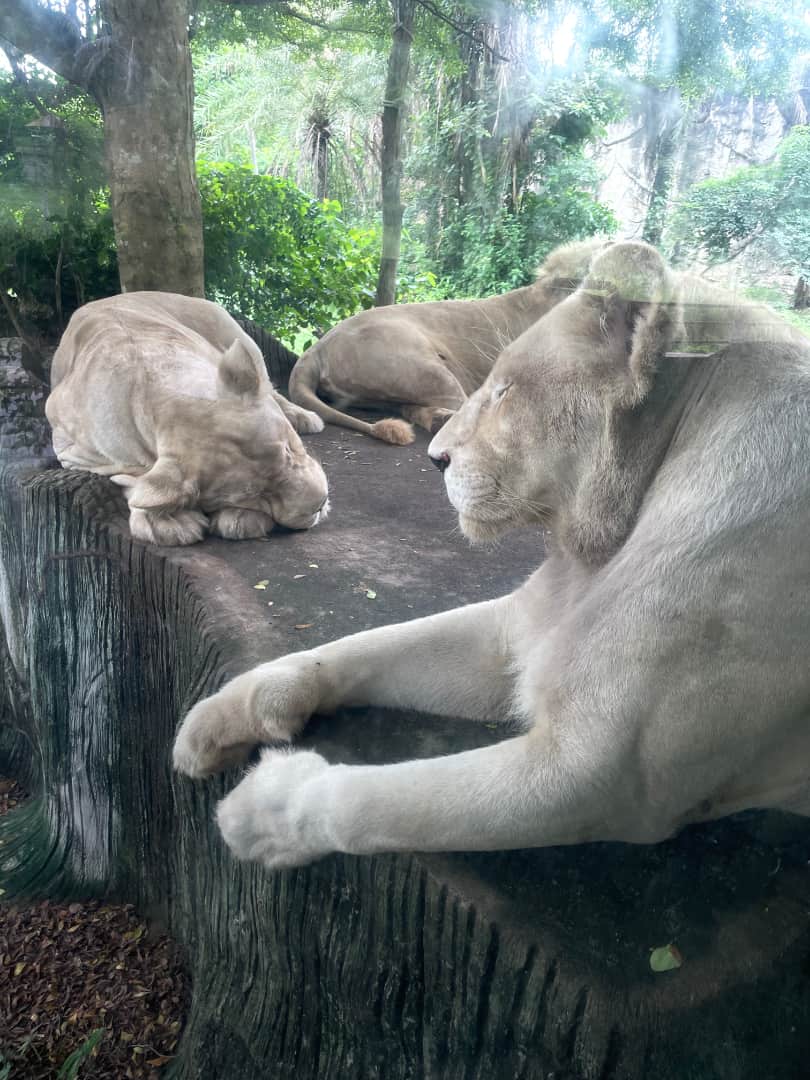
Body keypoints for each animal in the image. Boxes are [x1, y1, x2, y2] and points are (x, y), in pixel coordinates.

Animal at [46, 293, 330, 548]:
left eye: (288, 449)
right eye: (258, 496)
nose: (320, 504)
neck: (156, 396)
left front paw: (239, 519)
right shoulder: (72, 453)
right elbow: (136, 482)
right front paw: (166, 521)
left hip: (235, 334)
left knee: (268, 384)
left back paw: (304, 417)